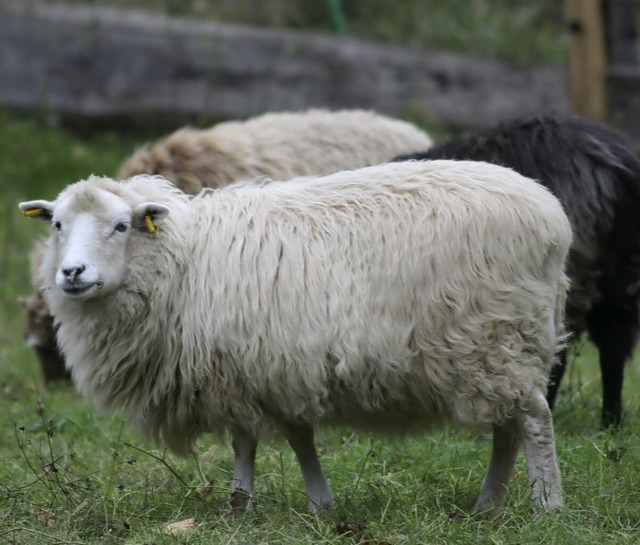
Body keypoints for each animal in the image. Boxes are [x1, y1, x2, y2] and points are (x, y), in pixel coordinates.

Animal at [20, 158, 568, 516]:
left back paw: (548, 507)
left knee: (534, 422)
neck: (182, 262)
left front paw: (239, 507)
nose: (72, 273)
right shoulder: (277, 367)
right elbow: (298, 440)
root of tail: (551, 215)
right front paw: (319, 505)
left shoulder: (235, 370)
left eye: (120, 226)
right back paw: (487, 506)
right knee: (507, 430)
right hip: (495, 349)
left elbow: (245, 443)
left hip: (495, 336)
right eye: (58, 224)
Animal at [396, 115, 640, 428]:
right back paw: (611, 422)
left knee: (558, 351)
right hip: (622, 275)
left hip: (567, 274)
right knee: (613, 346)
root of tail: (615, 167)